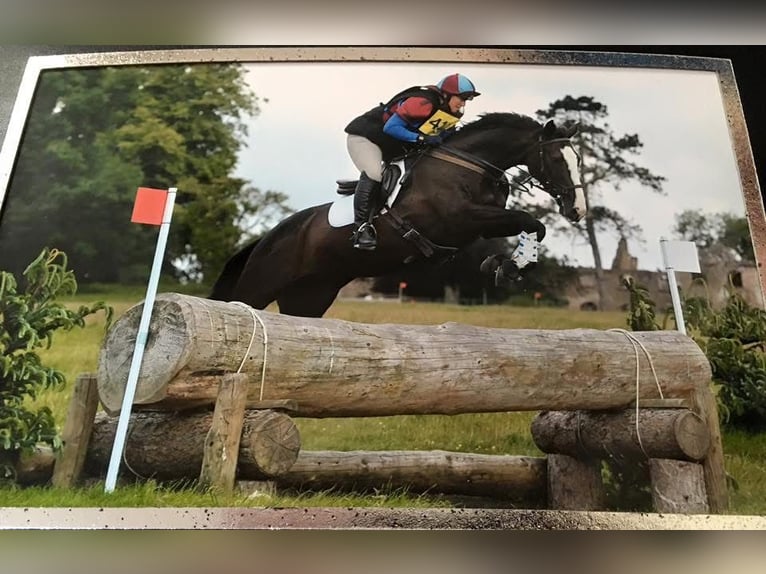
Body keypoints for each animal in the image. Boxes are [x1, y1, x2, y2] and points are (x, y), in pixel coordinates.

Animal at [212, 113, 588, 320]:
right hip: (260, 285)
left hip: (309, 295)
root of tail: (266, 238)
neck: (469, 164)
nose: (578, 209)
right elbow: (530, 220)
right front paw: (509, 265)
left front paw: (504, 264)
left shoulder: (478, 224)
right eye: (558, 159)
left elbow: (529, 226)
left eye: (578, 160)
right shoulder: (461, 218)